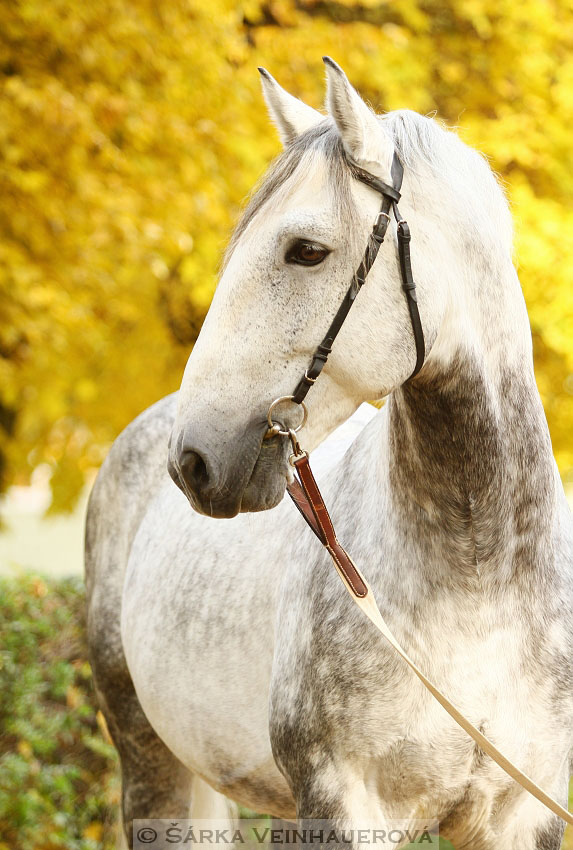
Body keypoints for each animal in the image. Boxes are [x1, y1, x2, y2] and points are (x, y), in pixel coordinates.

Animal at [85, 59, 572, 848]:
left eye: (305, 250)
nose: (194, 462)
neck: (479, 584)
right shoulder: (341, 801)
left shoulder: (522, 811)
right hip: (149, 763)